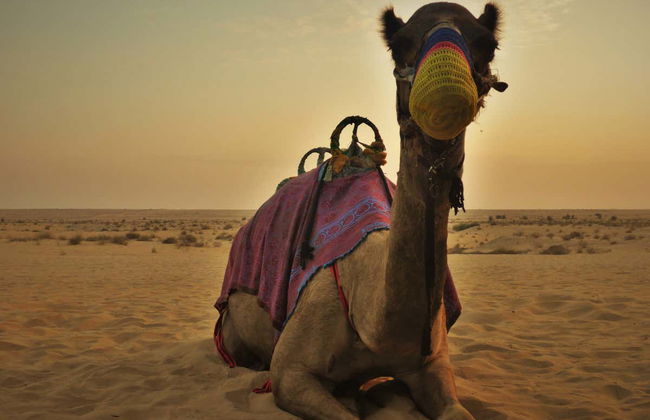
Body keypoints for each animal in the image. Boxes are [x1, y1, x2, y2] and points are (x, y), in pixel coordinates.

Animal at [218, 2, 507, 419]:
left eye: (488, 44)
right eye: (398, 44)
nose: (446, 94)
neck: (373, 324)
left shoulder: (433, 365)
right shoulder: (290, 373)